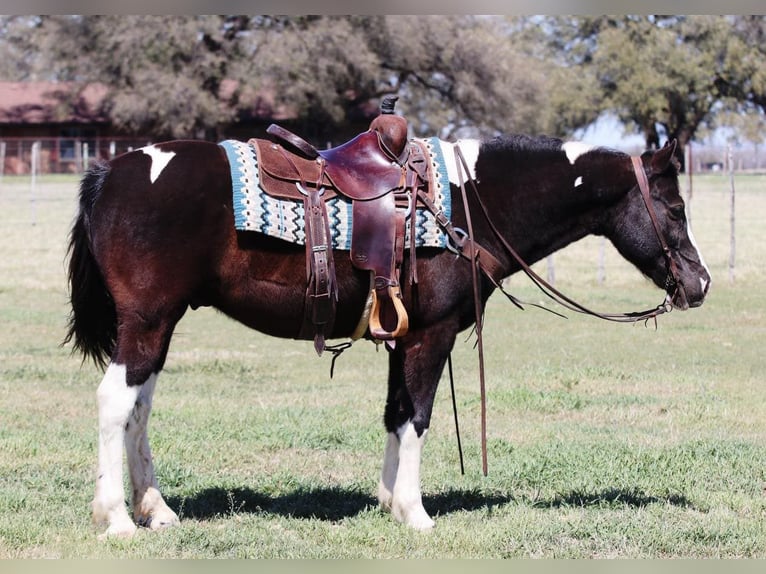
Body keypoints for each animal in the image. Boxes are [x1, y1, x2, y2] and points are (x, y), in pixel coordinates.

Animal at [66, 134, 712, 540]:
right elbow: (417, 417)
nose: (700, 282)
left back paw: (156, 509)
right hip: (147, 322)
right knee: (115, 402)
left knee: (140, 408)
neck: (471, 204)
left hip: (159, 327)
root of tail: (110, 171)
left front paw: (386, 499)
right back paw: (117, 518)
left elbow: (395, 413)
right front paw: (414, 511)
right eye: (675, 209)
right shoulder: (432, 335)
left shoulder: (402, 337)